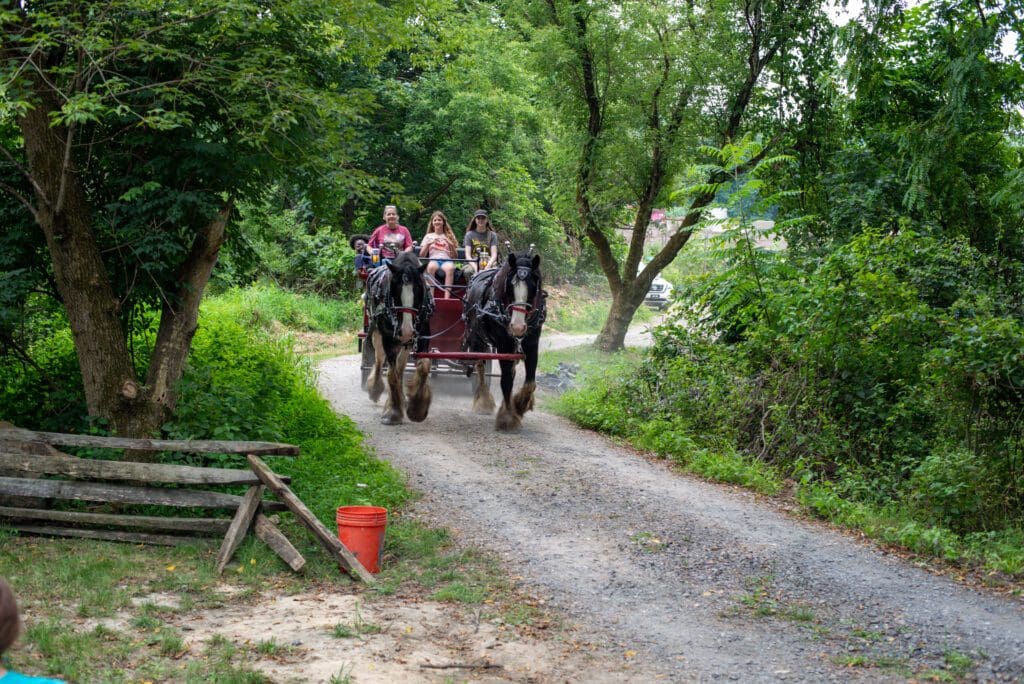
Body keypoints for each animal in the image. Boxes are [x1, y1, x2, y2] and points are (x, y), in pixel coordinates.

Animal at [364, 250, 432, 421]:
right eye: (395, 290)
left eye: (419, 289)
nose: (406, 330)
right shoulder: (388, 338)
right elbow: (391, 374)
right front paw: (393, 412)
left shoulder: (422, 335)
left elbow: (423, 366)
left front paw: (417, 408)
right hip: (378, 333)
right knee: (380, 360)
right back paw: (375, 389)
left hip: (406, 343)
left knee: (401, 366)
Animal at [462, 250, 544, 432]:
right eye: (510, 288)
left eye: (533, 287)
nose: (518, 327)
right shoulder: (503, 345)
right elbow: (506, 381)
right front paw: (507, 417)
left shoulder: (532, 344)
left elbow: (530, 383)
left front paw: (520, 405)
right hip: (476, 337)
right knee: (480, 366)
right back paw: (483, 400)